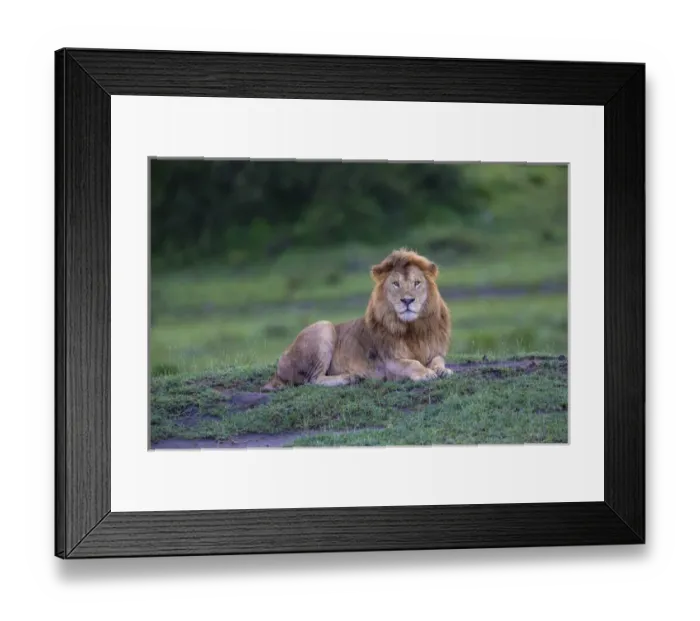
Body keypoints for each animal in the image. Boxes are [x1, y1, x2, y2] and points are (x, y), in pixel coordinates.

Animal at [261, 248, 453, 391]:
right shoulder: (389, 363)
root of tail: (278, 370)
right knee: (312, 380)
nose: (407, 300)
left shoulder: (434, 351)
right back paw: (350, 378)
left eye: (417, 283)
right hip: (324, 327)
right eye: (396, 284)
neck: (412, 328)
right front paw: (426, 373)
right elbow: (412, 363)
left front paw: (443, 371)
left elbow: (438, 361)